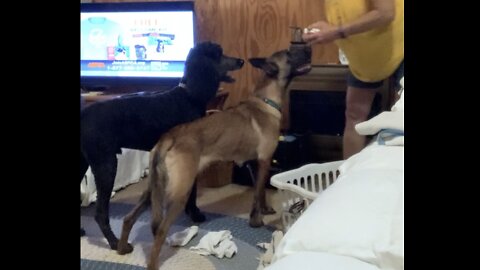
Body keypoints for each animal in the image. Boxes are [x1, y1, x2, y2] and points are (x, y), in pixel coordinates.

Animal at [80, 41, 244, 250]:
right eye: (218, 54)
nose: (241, 61)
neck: (189, 95)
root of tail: (83, 115)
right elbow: (192, 190)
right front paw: (195, 213)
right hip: (105, 164)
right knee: (100, 213)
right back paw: (116, 243)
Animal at [116, 44, 312, 270]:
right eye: (289, 54)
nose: (308, 47)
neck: (266, 101)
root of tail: (169, 137)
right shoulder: (263, 161)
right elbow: (257, 194)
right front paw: (257, 221)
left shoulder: (255, 165)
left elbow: (260, 191)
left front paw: (264, 209)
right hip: (180, 193)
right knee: (160, 231)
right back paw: (152, 263)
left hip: (154, 188)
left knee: (128, 217)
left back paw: (122, 248)